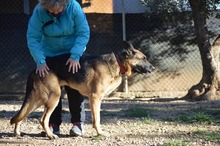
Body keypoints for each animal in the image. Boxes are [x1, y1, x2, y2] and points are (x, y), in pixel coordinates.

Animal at [10, 41, 155, 139]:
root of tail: (35, 70)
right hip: (53, 98)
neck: (118, 63)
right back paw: (51, 135)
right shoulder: (95, 98)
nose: (153, 68)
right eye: (144, 58)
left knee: (22, 114)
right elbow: (97, 119)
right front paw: (100, 133)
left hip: (38, 100)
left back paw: (17, 132)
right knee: (42, 119)